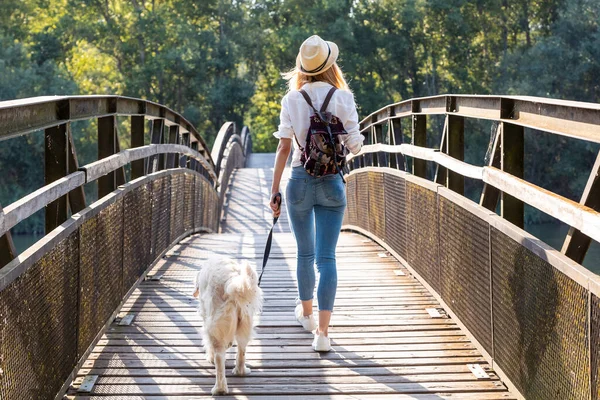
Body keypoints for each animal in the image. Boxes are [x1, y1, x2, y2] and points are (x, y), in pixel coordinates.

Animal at [192, 258, 262, 396]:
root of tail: (231, 280)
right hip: (245, 323)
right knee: (241, 351)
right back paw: (241, 371)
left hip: (215, 327)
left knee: (219, 361)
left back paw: (219, 389)